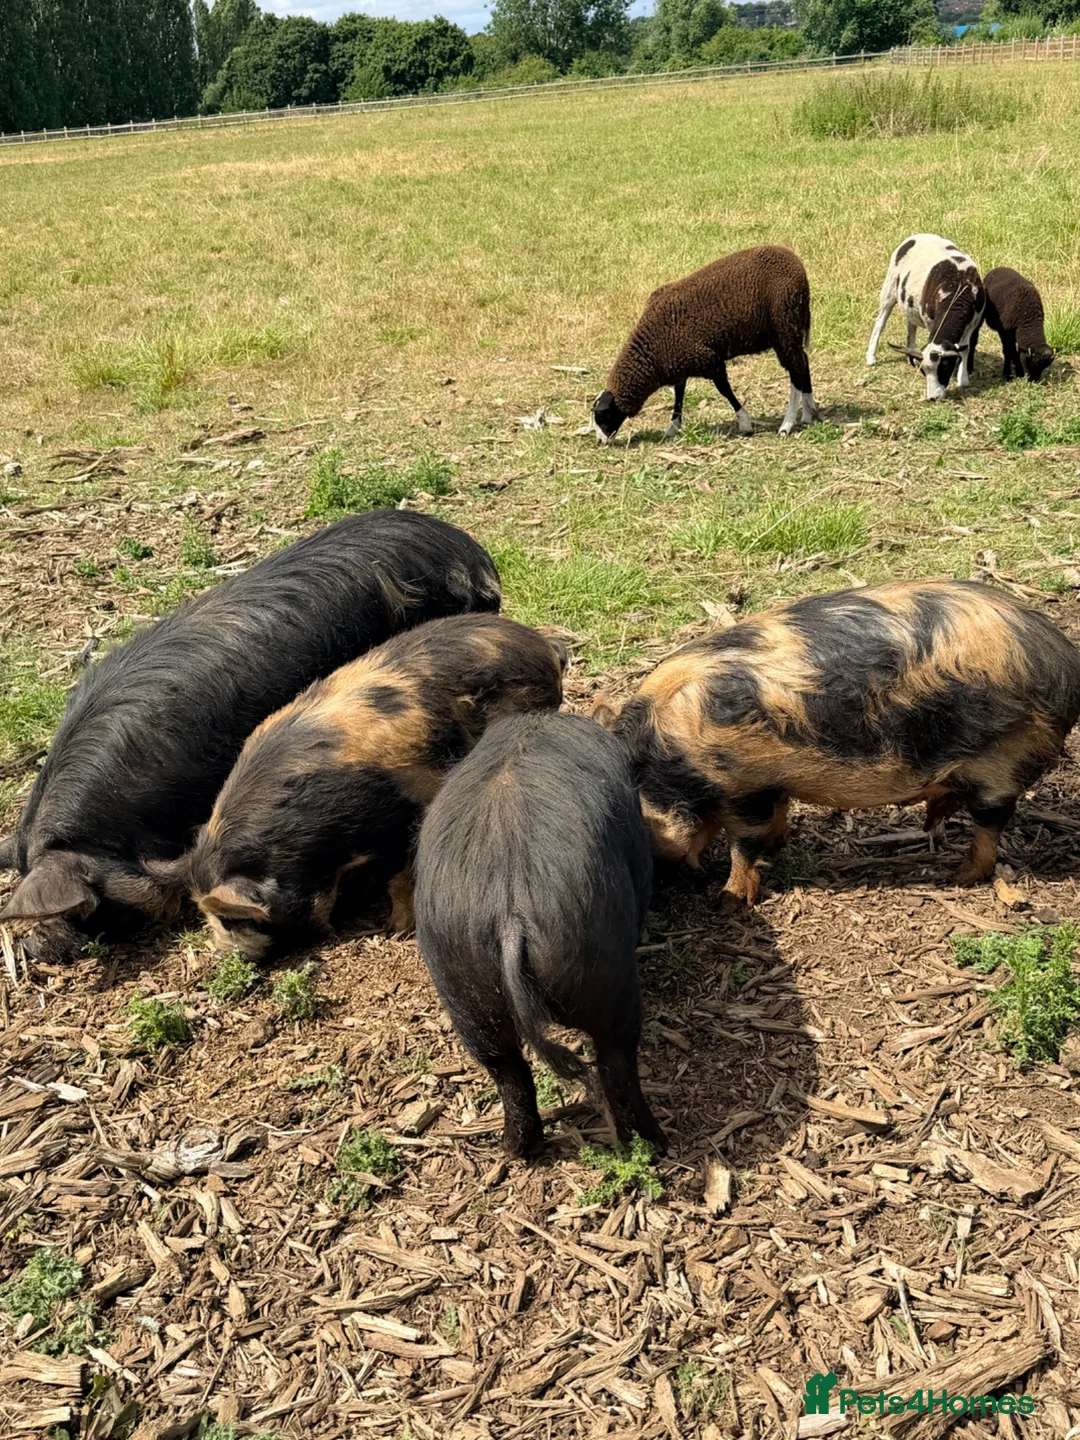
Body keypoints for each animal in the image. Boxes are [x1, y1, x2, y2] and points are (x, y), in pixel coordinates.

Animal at [159, 615, 566, 959]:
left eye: (233, 919)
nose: (225, 956)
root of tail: (539, 645)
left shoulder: (393, 821)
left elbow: (397, 876)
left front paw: (397, 929)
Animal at [414, 711, 665, 1160]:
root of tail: (509, 915)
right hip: (606, 976)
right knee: (616, 1061)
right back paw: (654, 1142)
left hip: (462, 981)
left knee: (508, 1071)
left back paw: (516, 1149)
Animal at [599, 580, 1080, 904]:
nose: (665, 882)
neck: (667, 755)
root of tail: (1063, 661)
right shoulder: (769, 783)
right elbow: (769, 821)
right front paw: (775, 847)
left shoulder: (746, 784)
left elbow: (744, 843)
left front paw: (730, 898)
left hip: (1003, 759)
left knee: (991, 823)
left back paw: (959, 877)